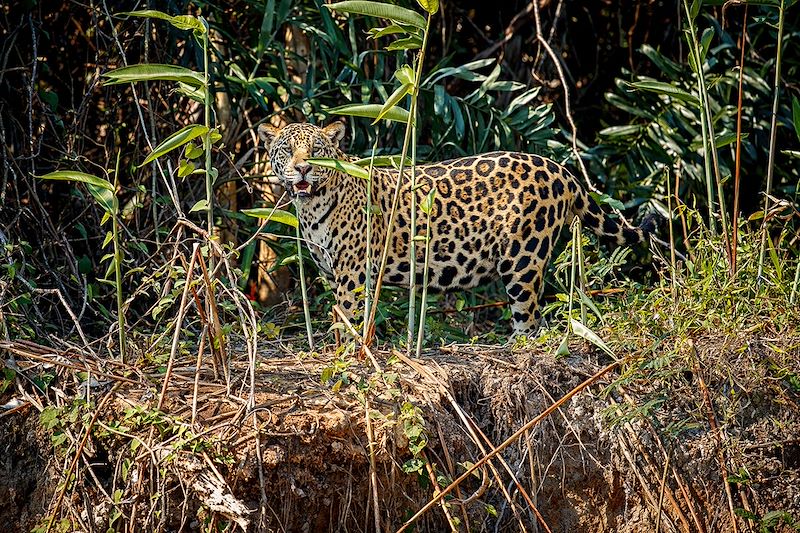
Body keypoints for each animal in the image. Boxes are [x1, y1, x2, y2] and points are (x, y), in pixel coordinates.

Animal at [258, 121, 657, 337]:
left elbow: (346, 312)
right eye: (286, 150)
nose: (303, 169)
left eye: (316, 149)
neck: (311, 206)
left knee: (529, 319)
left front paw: (340, 349)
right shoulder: (331, 270)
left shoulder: (353, 271)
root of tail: (560, 168)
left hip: (522, 258)